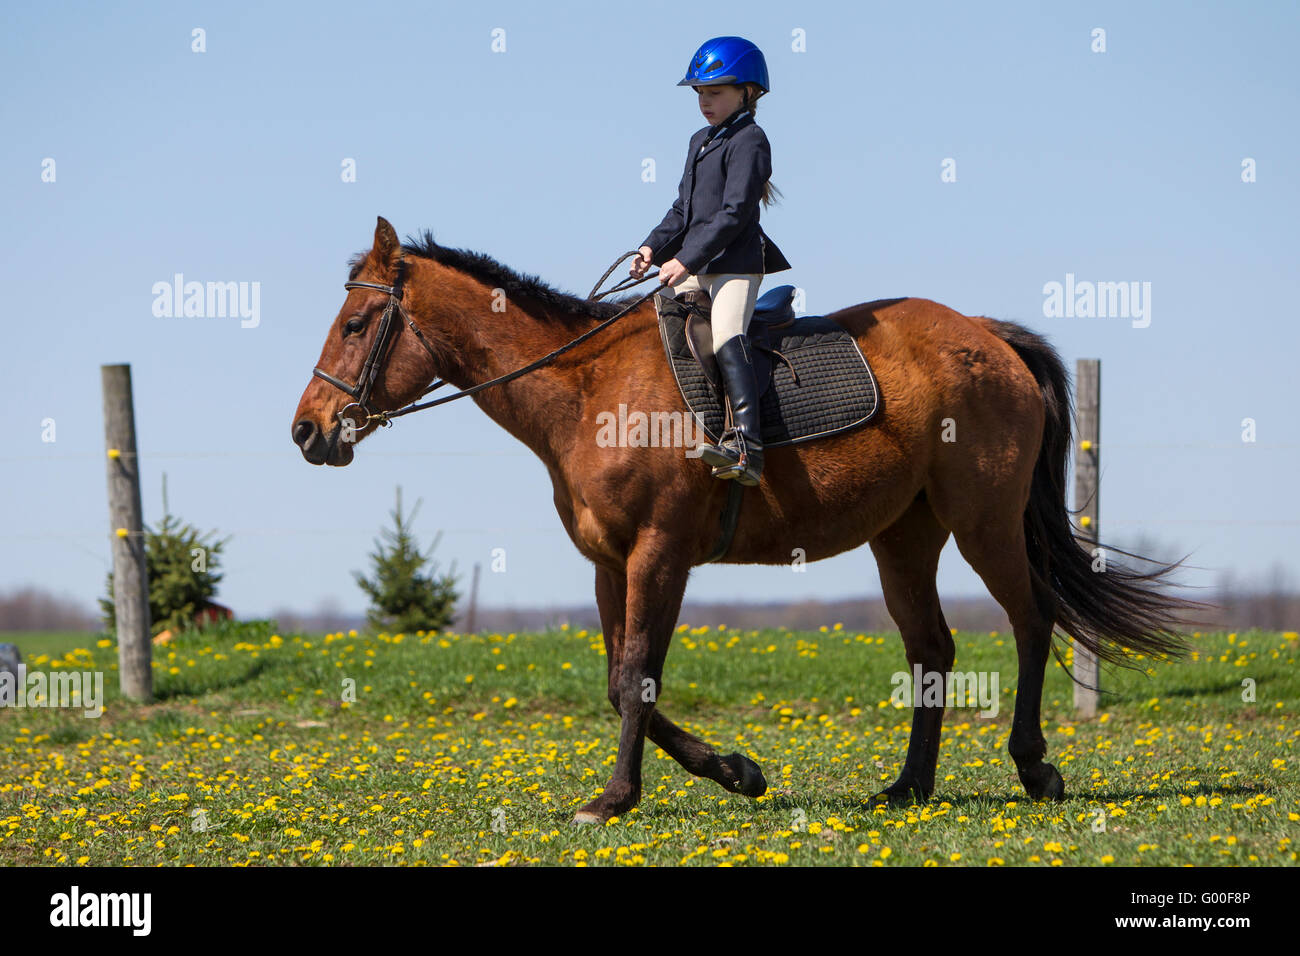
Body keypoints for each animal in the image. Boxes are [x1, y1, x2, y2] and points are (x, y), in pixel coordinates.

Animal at [292, 217, 1196, 822]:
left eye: (356, 325)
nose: (307, 431)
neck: (586, 391)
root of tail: (987, 335)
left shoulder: (659, 554)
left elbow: (636, 676)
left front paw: (615, 799)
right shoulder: (609, 563)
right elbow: (620, 681)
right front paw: (737, 772)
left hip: (984, 524)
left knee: (1031, 620)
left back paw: (1035, 769)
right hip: (904, 537)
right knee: (932, 651)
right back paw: (909, 788)